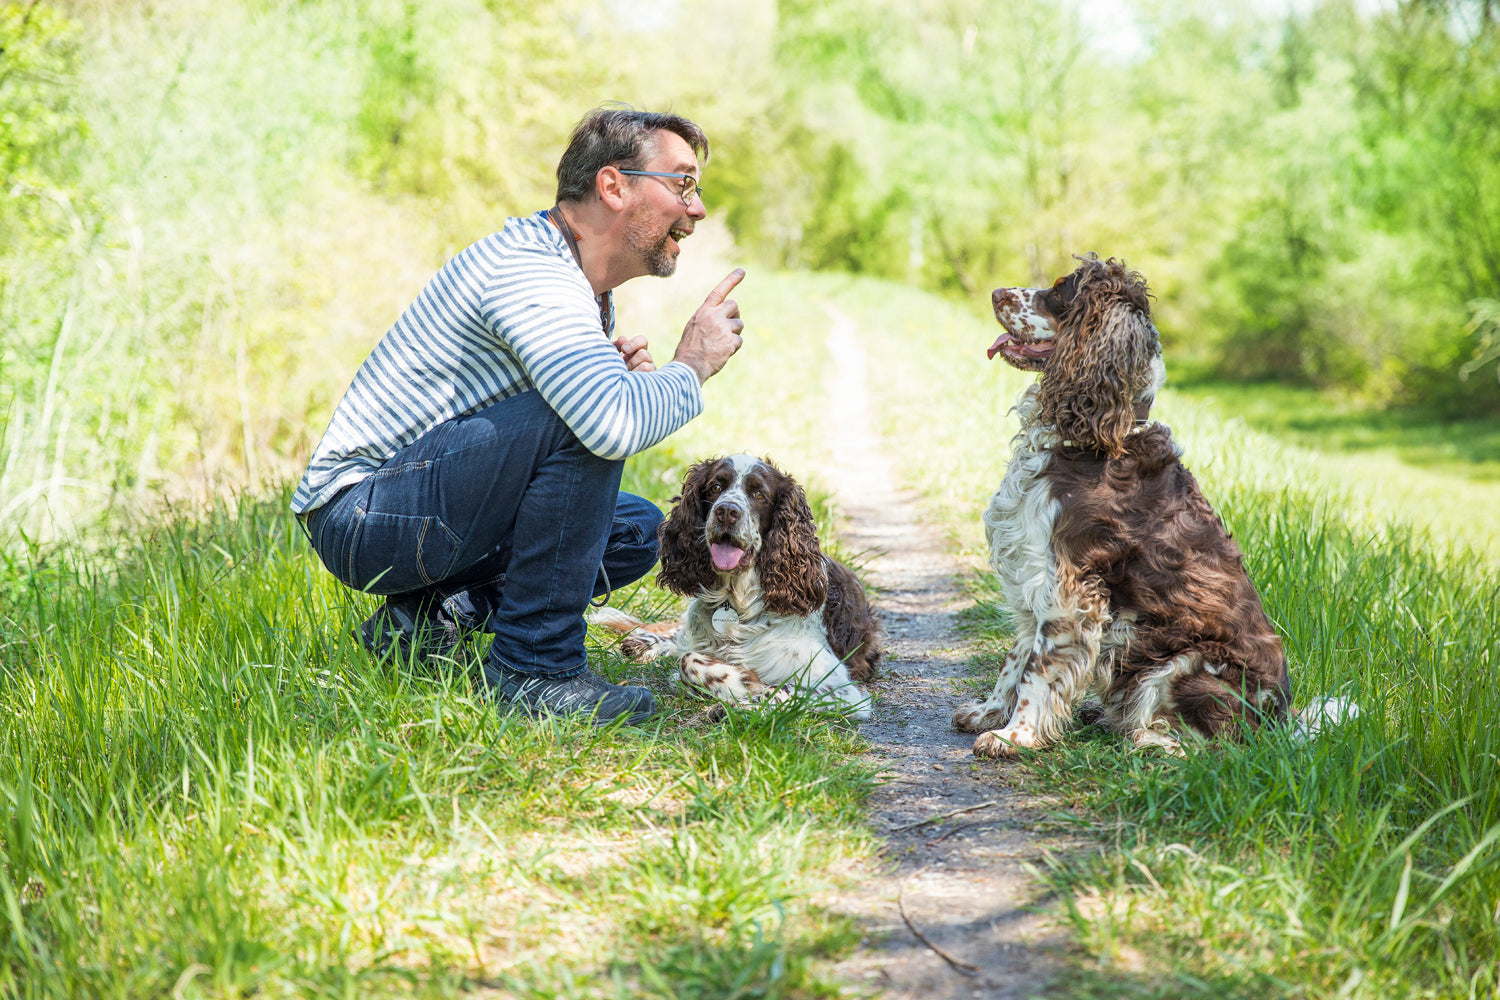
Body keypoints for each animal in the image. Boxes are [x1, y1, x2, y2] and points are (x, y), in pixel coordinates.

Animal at [597, 452, 876, 719]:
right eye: (716, 486)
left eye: (759, 494)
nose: (727, 512)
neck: (737, 601)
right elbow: (689, 659)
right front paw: (740, 681)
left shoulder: (838, 688)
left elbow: (780, 692)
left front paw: (743, 695)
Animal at [954, 254, 1296, 755]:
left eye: (1059, 291)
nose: (996, 292)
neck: (1096, 436)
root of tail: (1282, 724)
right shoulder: (1034, 570)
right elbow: (1015, 656)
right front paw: (988, 712)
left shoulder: (1070, 586)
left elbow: (1037, 668)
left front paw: (1013, 736)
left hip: (1184, 661)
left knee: (1212, 746)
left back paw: (1148, 740)